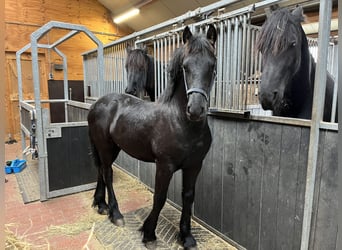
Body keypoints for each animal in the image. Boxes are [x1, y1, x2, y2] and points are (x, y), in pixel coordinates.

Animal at [88, 24, 216, 248]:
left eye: (212, 66)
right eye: (185, 67)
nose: (196, 109)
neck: (181, 122)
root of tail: (97, 104)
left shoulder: (194, 165)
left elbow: (188, 197)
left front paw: (186, 236)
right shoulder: (164, 166)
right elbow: (160, 197)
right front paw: (148, 233)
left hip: (111, 148)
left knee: (101, 170)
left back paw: (101, 205)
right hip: (104, 146)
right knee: (108, 173)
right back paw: (116, 213)